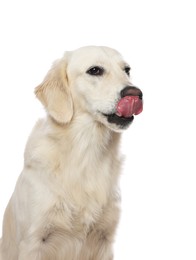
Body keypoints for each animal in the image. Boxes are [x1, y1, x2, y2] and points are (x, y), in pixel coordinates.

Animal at [0, 45, 143, 258]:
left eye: (127, 70)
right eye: (95, 70)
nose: (136, 93)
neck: (85, 151)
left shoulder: (105, 239)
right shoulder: (33, 241)